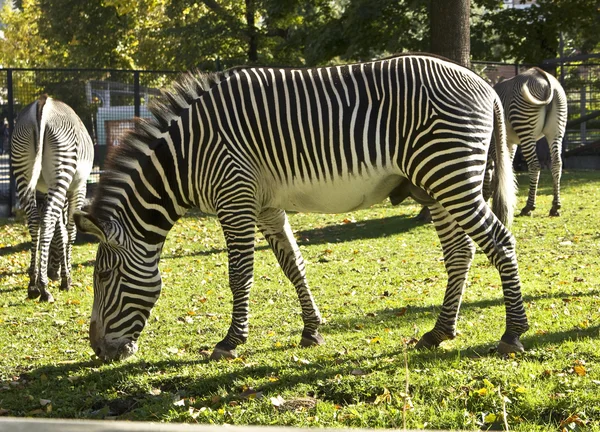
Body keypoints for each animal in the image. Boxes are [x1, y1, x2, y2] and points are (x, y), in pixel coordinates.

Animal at [11, 96, 94, 302]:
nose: (52, 273)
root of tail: (42, 103)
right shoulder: (78, 188)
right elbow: (69, 231)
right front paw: (67, 278)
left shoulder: (46, 190)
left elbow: (59, 230)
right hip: (62, 169)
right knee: (47, 219)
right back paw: (44, 287)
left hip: (23, 173)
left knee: (35, 221)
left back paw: (33, 285)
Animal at [72, 54, 528, 364]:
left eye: (104, 276)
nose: (97, 351)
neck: (186, 156)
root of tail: (486, 85)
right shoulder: (265, 206)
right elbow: (293, 265)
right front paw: (312, 331)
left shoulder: (234, 199)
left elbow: (239, 276)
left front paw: (230, 342)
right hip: (436, 185)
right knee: (462, 252)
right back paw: (440, 331)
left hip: (449, 174)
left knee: (501, 241)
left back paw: (512, 333)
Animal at [492, 68, 568, 218]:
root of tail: (544, 76)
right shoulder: (510, 142)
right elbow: (507, 165)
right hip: (556, 130)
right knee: (557, 163)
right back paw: (555, 206)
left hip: (525, 126)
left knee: (534, 165)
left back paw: (528, 207)